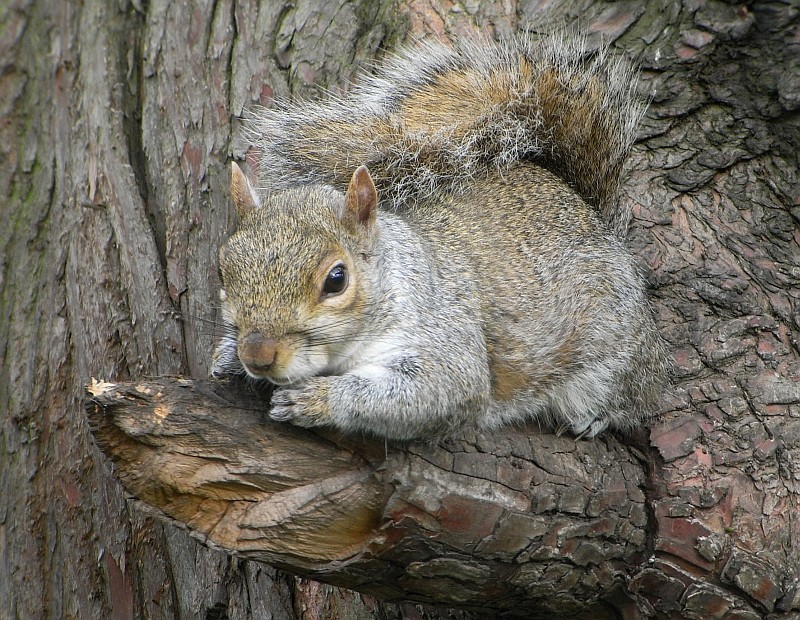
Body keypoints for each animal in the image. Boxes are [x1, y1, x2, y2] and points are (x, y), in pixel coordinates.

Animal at [212, 32, 668, 440]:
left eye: (336, 280)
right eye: (223, 271)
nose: (257, 355)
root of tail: (593, 215)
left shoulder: (446, 339)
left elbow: (434, 392)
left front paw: (318, 399)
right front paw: (227, 357)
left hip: (612, 352)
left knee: (632, 398)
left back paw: (594, 417)